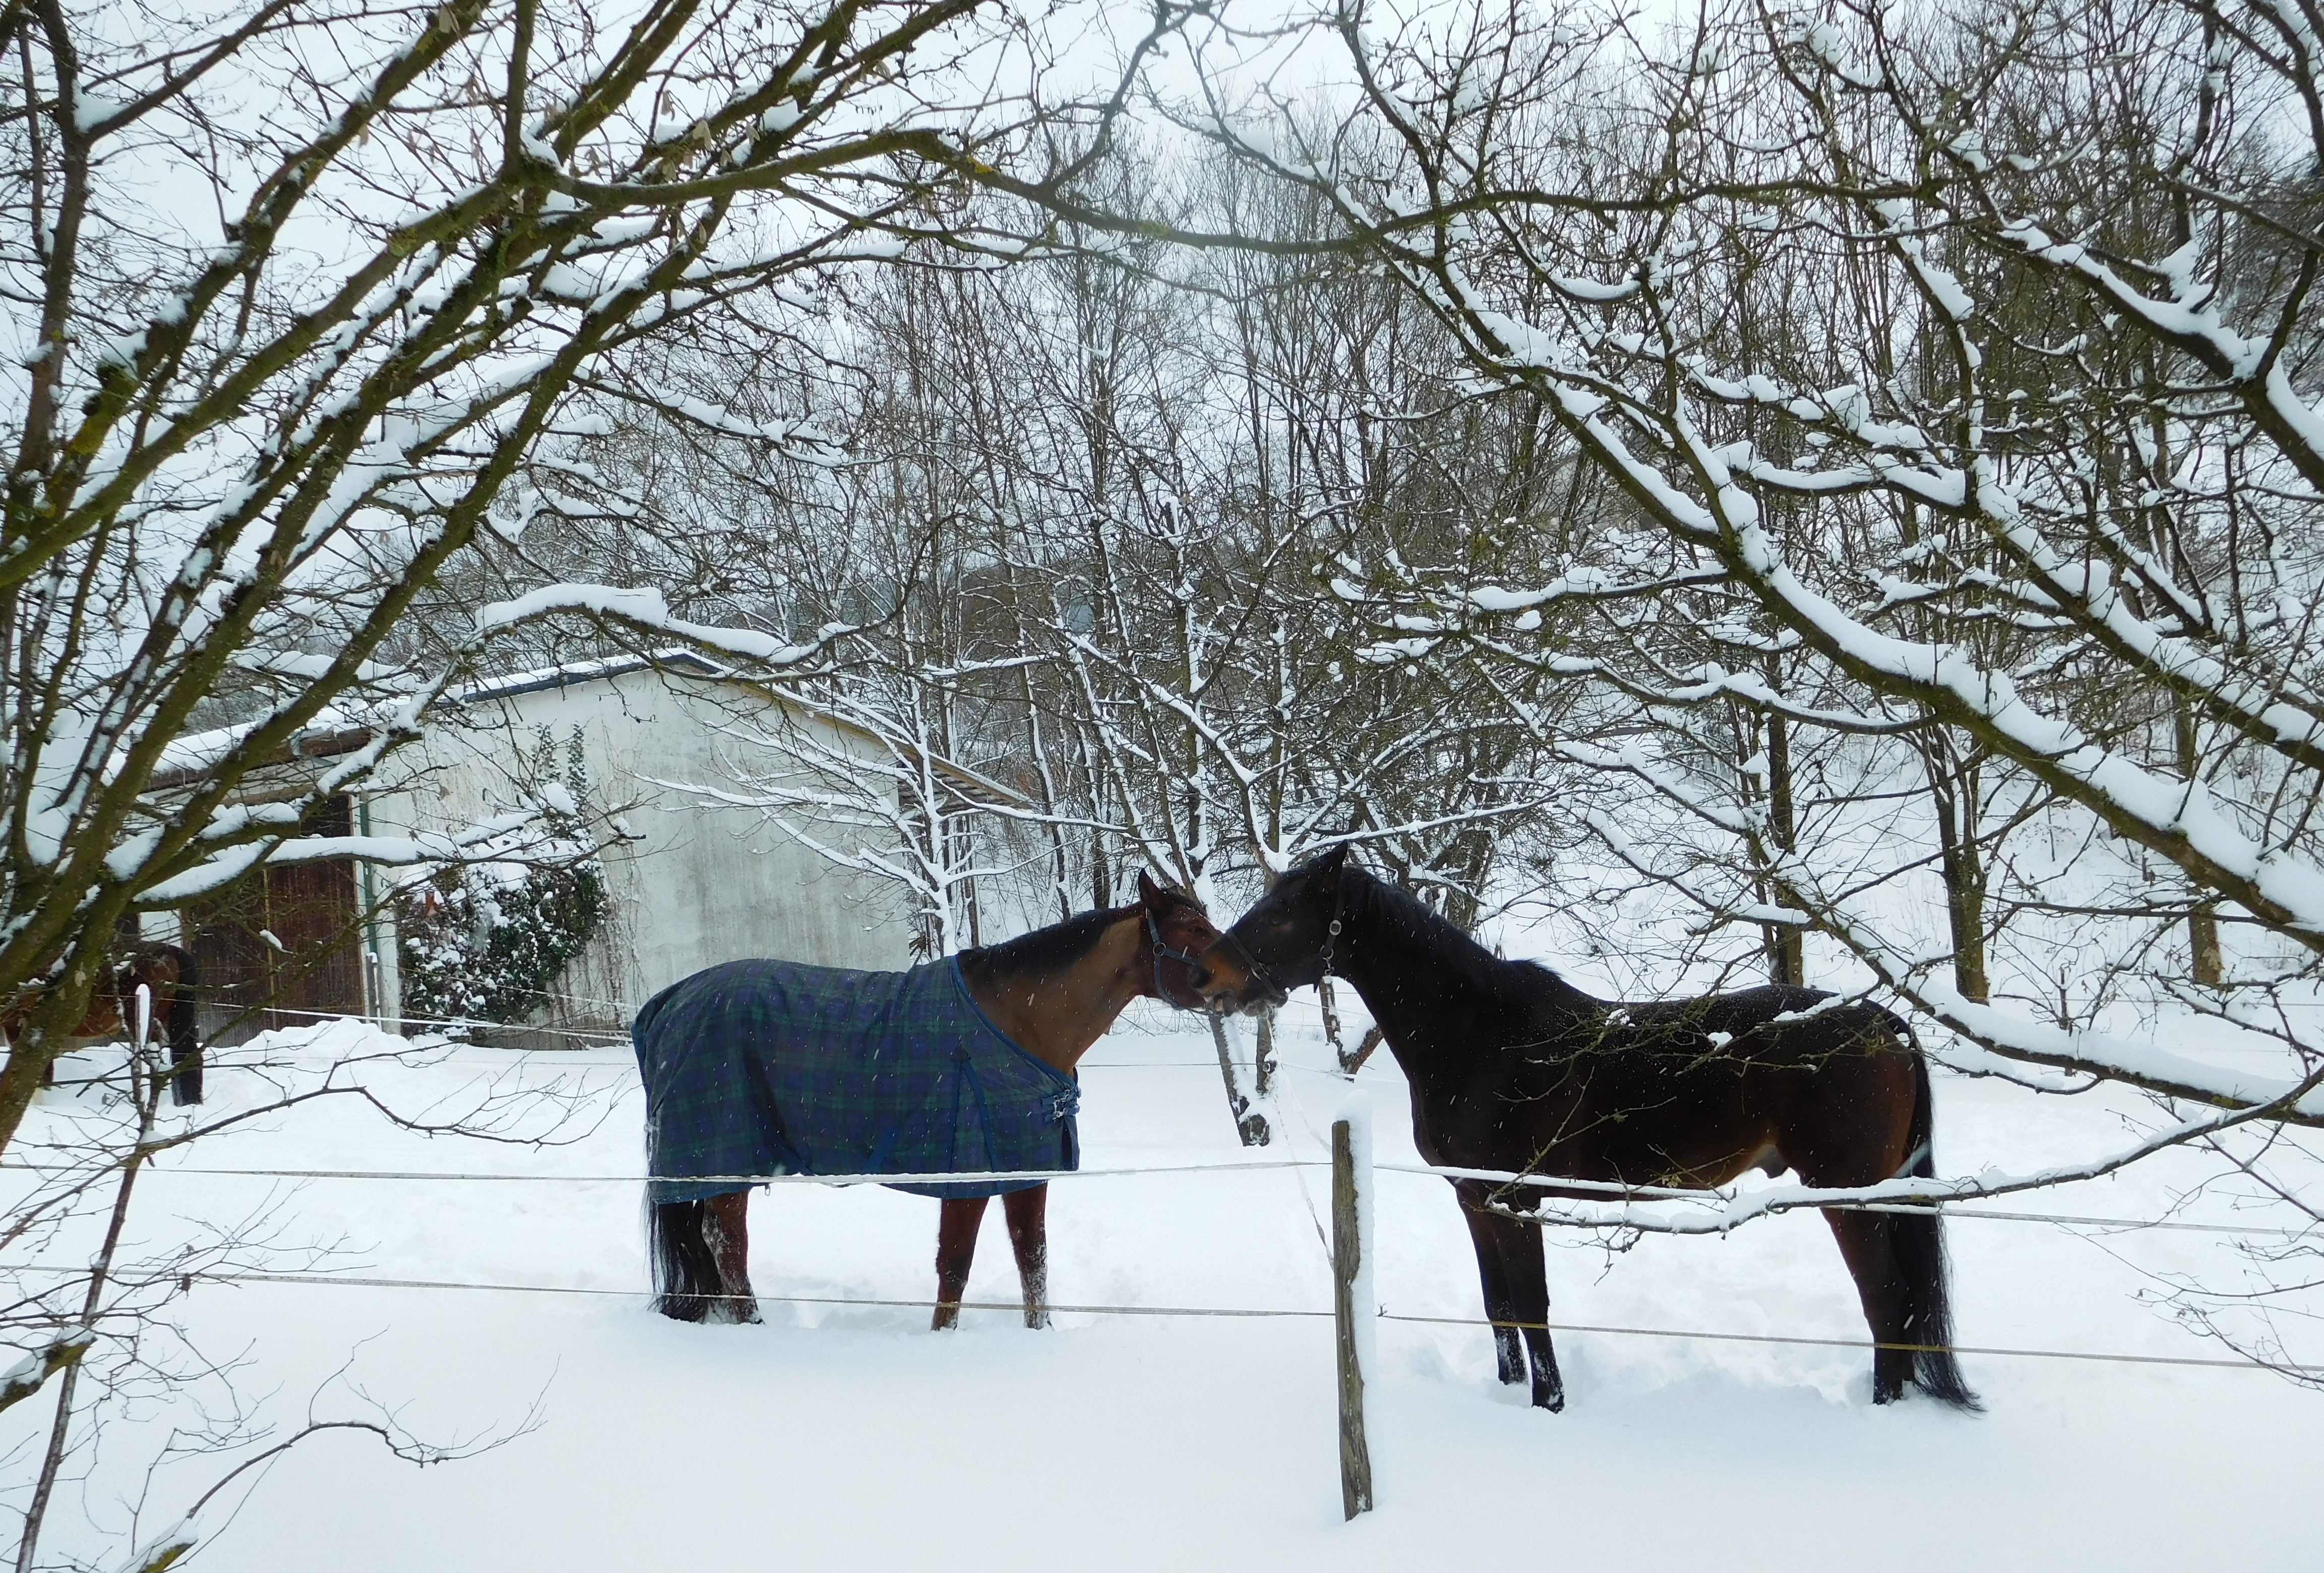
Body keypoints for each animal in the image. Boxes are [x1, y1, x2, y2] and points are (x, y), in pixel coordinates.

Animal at [635, 872, 1224, 1329]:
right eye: (1194, 930)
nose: (1246, 976)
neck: (1019, 1022)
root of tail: (670, 1000)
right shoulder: (966, 1177)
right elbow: (955, 1267)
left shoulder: (1026, 1170)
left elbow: (1032, 1259)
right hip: (722, 1161)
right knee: (728, 1243)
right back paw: (756, 1326)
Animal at [1197, 847, 1978, 1413]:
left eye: (1285, 914)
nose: (1209, 978)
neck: (1478, 1035)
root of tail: (1883, 1019)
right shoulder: (1475, 1198)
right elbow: (1499, 1306)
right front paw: (1511, 1392)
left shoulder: (1517, 1198)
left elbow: (1533, 1303)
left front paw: (1551, 1403)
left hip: (1848, 1194)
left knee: (1887, 1298)